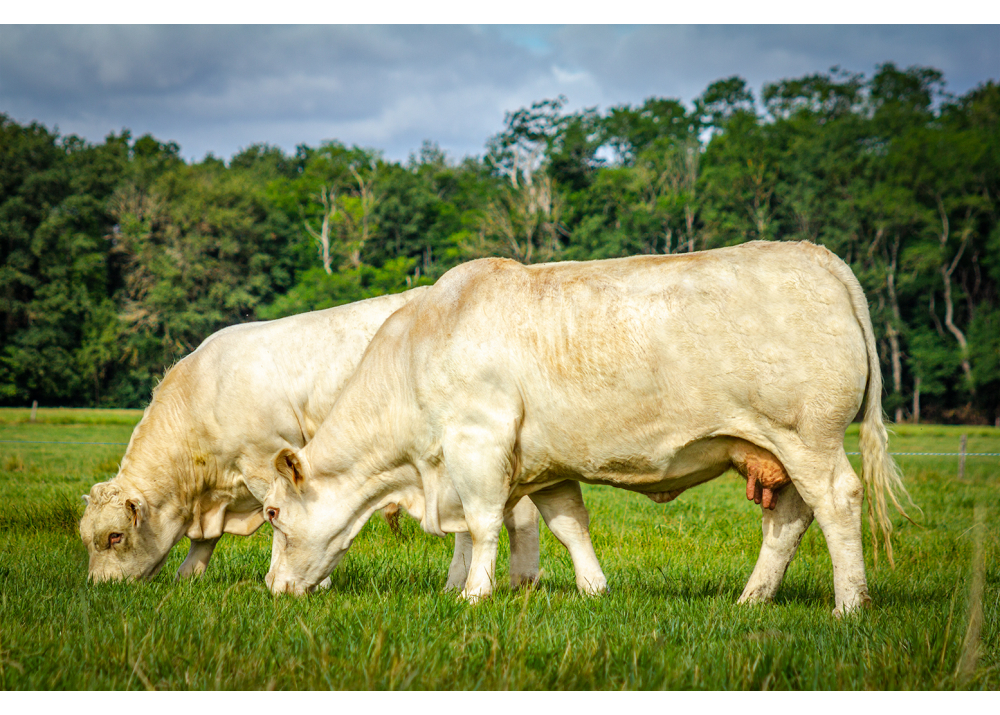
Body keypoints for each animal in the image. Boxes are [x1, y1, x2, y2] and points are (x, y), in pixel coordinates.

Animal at [78, 288, 544, 592]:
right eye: (87, 538)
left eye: (114, 536)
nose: (99, 587)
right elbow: (203, 542)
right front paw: (186, 579)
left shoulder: (264, 459)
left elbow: (280, 519)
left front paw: (308, 582)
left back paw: (487, 582)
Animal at [260, 241, 916, 616]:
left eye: (272, 513)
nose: (271, 588)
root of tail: (820, 256)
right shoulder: (543, 462)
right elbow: (569, 525)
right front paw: (596, 589)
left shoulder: (478, 441)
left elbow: (482, 523)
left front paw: (473, 594)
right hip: (772, 449)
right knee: (789, 519)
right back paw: (751, 600)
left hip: (808, 434)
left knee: (837, 501)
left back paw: (849, 605)